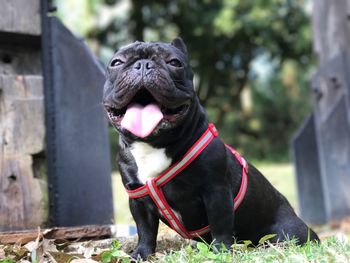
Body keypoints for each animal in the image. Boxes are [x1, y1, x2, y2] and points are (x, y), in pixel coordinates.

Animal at [102, 38, 318, 260]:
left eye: (174, 63)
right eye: (116, 63)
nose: (143, 64)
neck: (154, 144)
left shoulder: (216, 191)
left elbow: (220, 225)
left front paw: (221, 252)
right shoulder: (138, 199)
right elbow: (145, 230)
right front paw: (141, 254)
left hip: (289, 233)